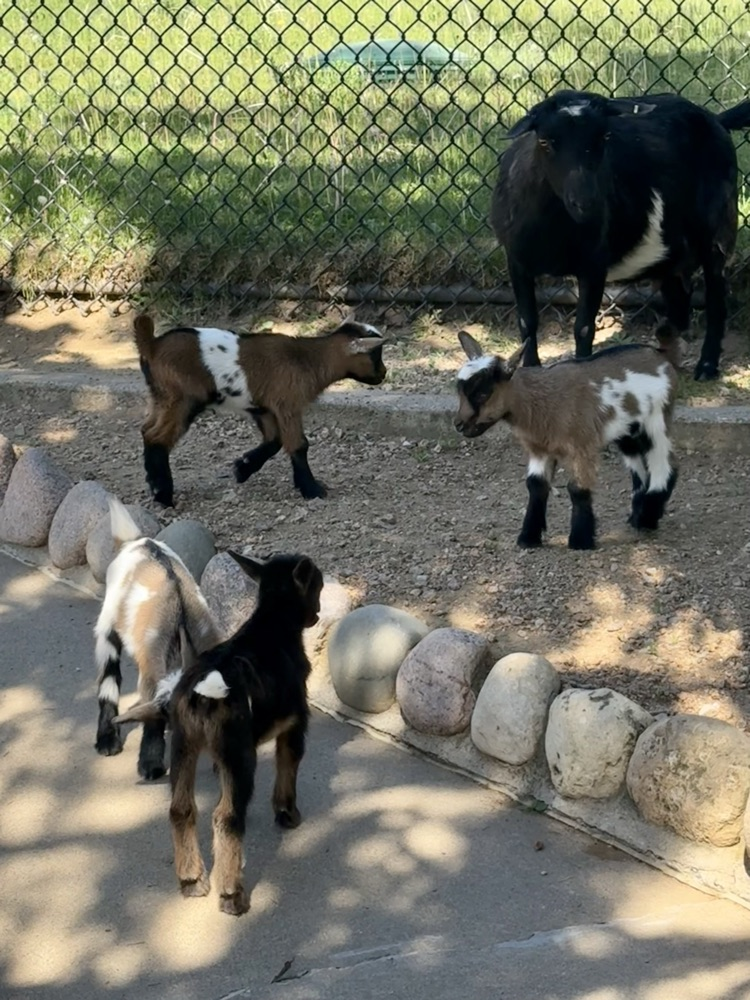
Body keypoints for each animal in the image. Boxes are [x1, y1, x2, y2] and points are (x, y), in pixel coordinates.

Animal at [94, 497, 219, 779]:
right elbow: (152, 717)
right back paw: (107, 739)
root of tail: (138, 541)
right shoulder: (152, 669)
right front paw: (150, 764)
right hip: (108, 621)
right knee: (109, 672)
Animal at [116, 550, 323, 916]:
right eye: (319, 585)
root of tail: (204, 689)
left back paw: (191, 880)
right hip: (238, 752)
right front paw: (288, 814)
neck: (271, 626)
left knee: (181, 808)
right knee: (227, 816)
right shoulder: (296, 722)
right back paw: (231, 895)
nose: (317, 615)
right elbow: (289, 765)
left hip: (184, 744)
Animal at [133, 314, 388, 506]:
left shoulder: (263, 408)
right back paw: (163, 495)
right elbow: (299, 445)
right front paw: (312, 489)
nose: (383, 374)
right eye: (375, 354)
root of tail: (152, 345)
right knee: (158, 436)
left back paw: (154, 484)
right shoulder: (288, 404)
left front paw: (242, 468)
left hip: (162, 397)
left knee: (147, 430)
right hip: (183, 399)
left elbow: (274, 442)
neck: (308, 360)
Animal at [454, 330, 679, 550]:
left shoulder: (581, 445)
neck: (541, 401)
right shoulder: (539, 449)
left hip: (656, 420)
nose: (459, 425)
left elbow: (577, 488)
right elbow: (536, 485)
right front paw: (528, 537)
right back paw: (636, 517)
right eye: (460, 392)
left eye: (483, 393)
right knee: (639, 469)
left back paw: (647, 519)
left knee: (664, 464)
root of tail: (660, 356)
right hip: (627, 431)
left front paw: (580, 541)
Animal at [491, 89, 750, 380]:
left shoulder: (593, 263)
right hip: (669, 248)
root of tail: (715, 119)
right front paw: (530, 369)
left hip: (719, 228)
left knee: (716, 298)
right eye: (545, 141)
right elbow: (527, 322)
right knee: (679, 295)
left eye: (604, 136)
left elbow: (583, 328)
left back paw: (706, 366)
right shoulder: (516, 260)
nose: (586, 202)